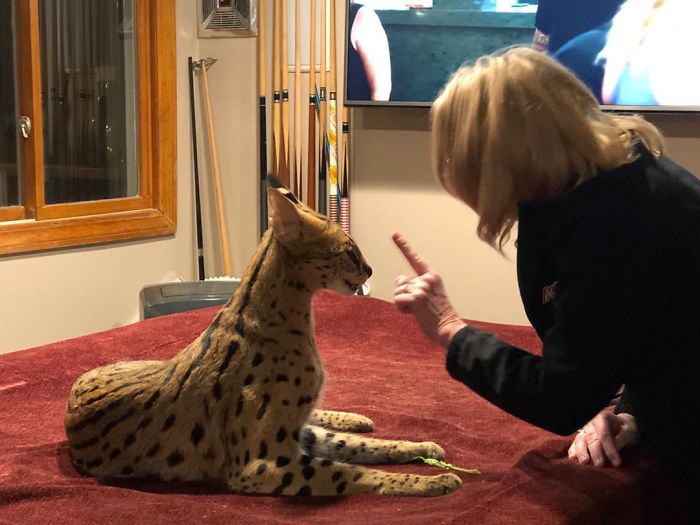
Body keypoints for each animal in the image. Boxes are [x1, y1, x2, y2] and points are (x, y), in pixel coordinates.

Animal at [64, 176, 460, 496]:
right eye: (349, 251)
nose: (370, 269)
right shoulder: (262, 463)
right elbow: (354, 473)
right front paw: (431, 481)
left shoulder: (287, 444)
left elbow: (364, 451)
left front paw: (423, 450)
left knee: (333, 426)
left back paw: (357, 418)